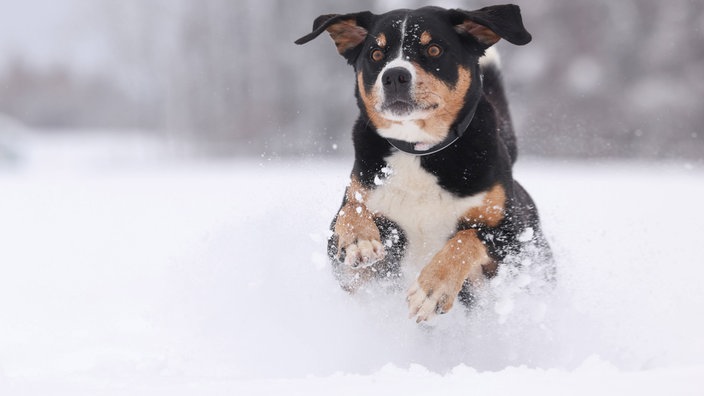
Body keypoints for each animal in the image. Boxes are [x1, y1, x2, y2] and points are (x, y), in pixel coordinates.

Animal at [294, 4, 552, 324]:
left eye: (433, 49)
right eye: (376, 54)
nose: (394, 76)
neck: (420, 152)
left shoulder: (509, 237)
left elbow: (466, 238)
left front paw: (432, 288)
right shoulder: (351, 264)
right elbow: (352, 211)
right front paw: (359, 240)